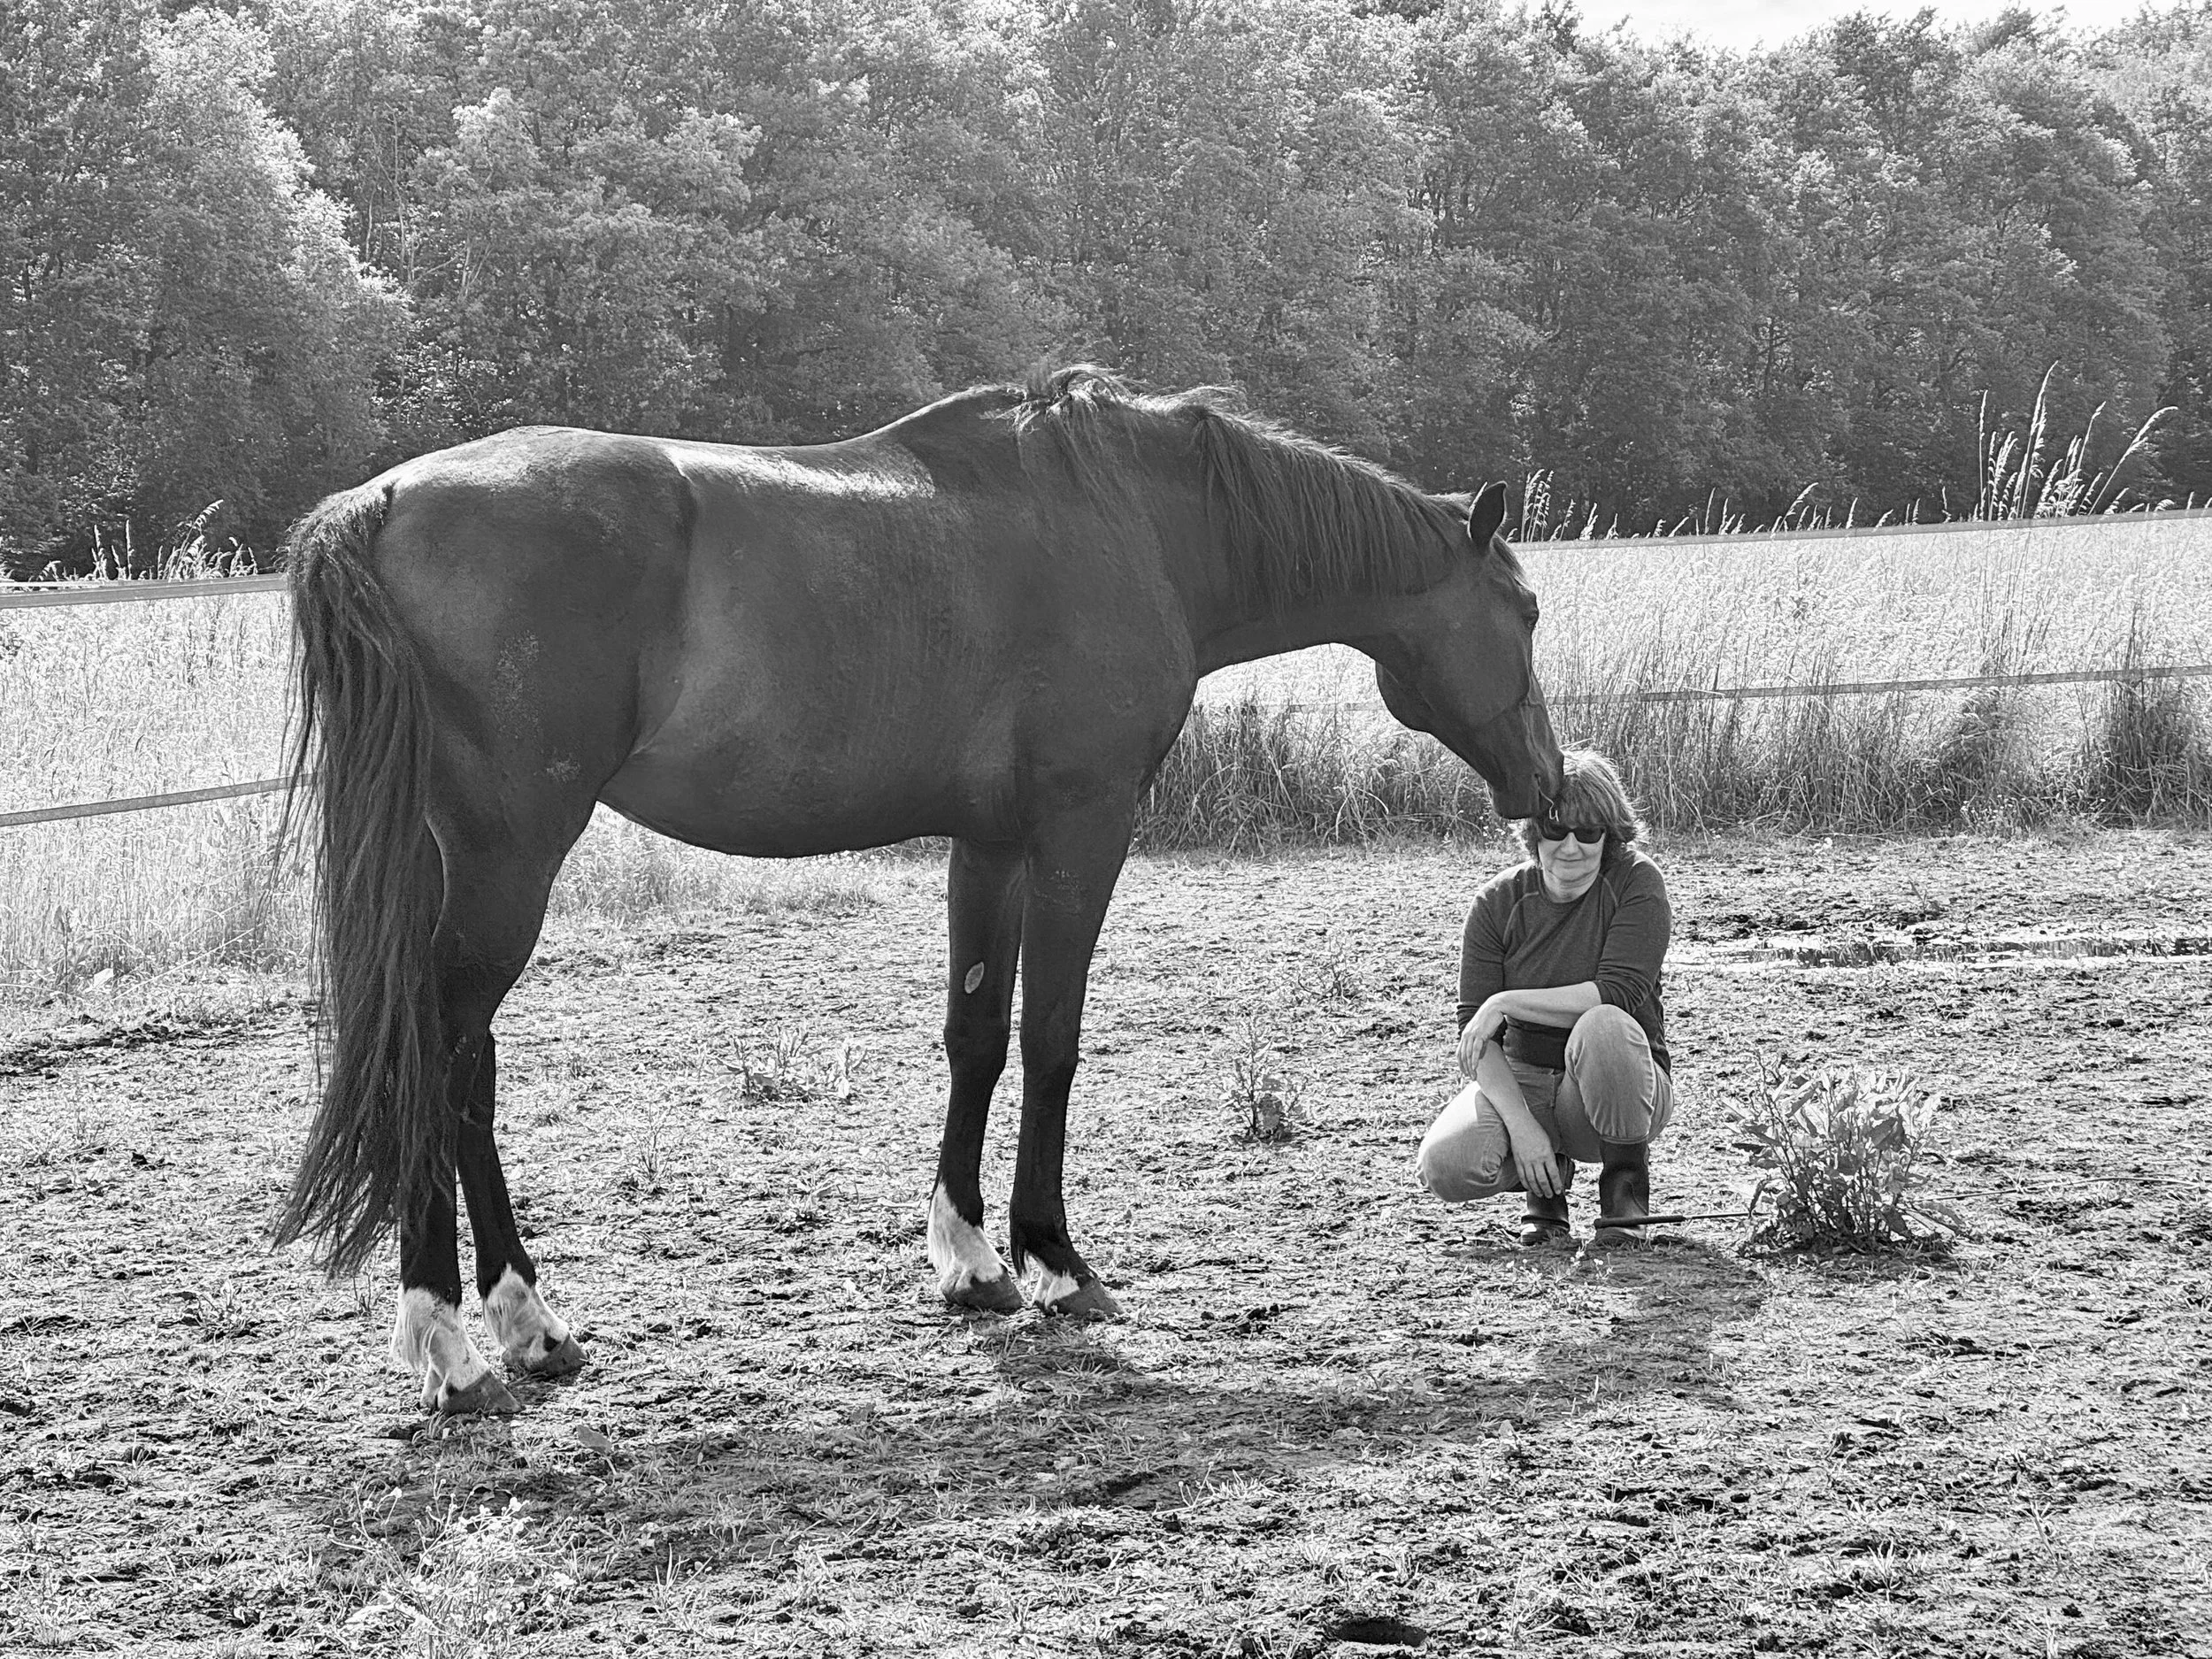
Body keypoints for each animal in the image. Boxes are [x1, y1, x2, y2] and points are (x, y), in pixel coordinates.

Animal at [273, 365, 1563, 1416]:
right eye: (1527, 609)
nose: (1549, 785)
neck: (1132, 522)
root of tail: (381, 503)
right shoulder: (1083, 828)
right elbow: (1051, 1039)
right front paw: (1054, 1260)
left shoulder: (986, 844)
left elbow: (976, 1035)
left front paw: (971, 1261)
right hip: (507, 863)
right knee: (439, 1062)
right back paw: (458, 1343)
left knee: (460, 1074)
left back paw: (527, 1327)